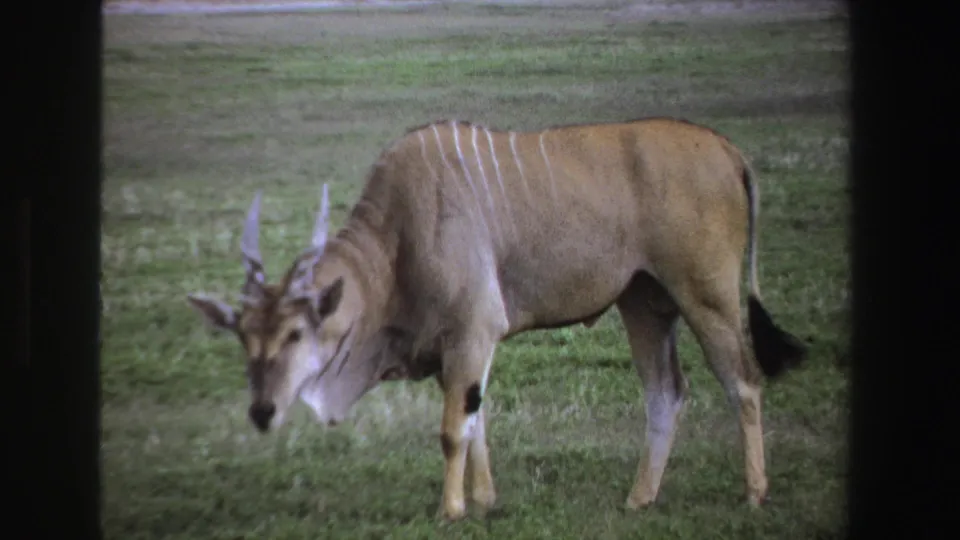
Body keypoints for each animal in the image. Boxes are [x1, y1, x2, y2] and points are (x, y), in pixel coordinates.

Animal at [186, 117, 807, 520]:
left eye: (295, 333)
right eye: (244, 337)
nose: (263, 411)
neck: (396, 240)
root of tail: (727, 150)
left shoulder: (473, 331)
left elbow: (451, 430)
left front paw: (452, 509)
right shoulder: (458, 348)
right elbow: (475, 419)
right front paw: (485, 501)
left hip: (706, 296)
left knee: (743, 382)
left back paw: (754, 494)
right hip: (644, 302)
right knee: (666, 392)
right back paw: (639, 499)